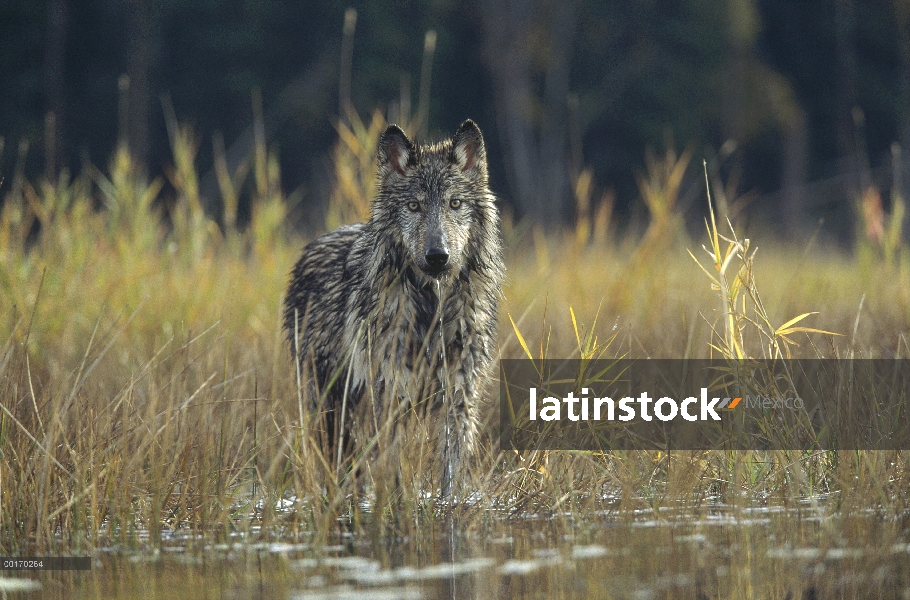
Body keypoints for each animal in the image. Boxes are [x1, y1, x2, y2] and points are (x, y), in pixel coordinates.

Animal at [284, 118, 506, 496]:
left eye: (455, 203)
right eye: (414, 206)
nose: (438, 256)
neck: (432, 309)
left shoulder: (460, 394)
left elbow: (451, 466)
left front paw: (449, 503)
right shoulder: (391, 394)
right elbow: (394, 464)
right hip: (329, 404)